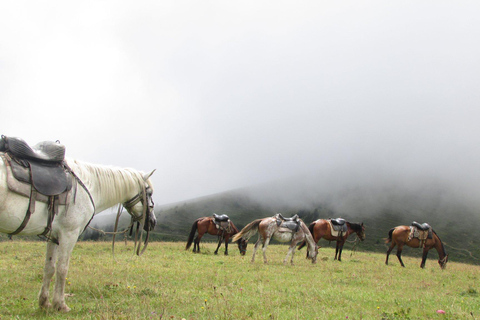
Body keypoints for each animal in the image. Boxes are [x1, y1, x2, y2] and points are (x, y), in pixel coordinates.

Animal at [0, 136, 157, 312]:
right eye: (149, 192)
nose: (153, 222)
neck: (89, 185)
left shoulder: (53, 236)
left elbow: (49, 268)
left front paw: (44, 303)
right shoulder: (69, 234)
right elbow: (62, 268)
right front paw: (60, 304)